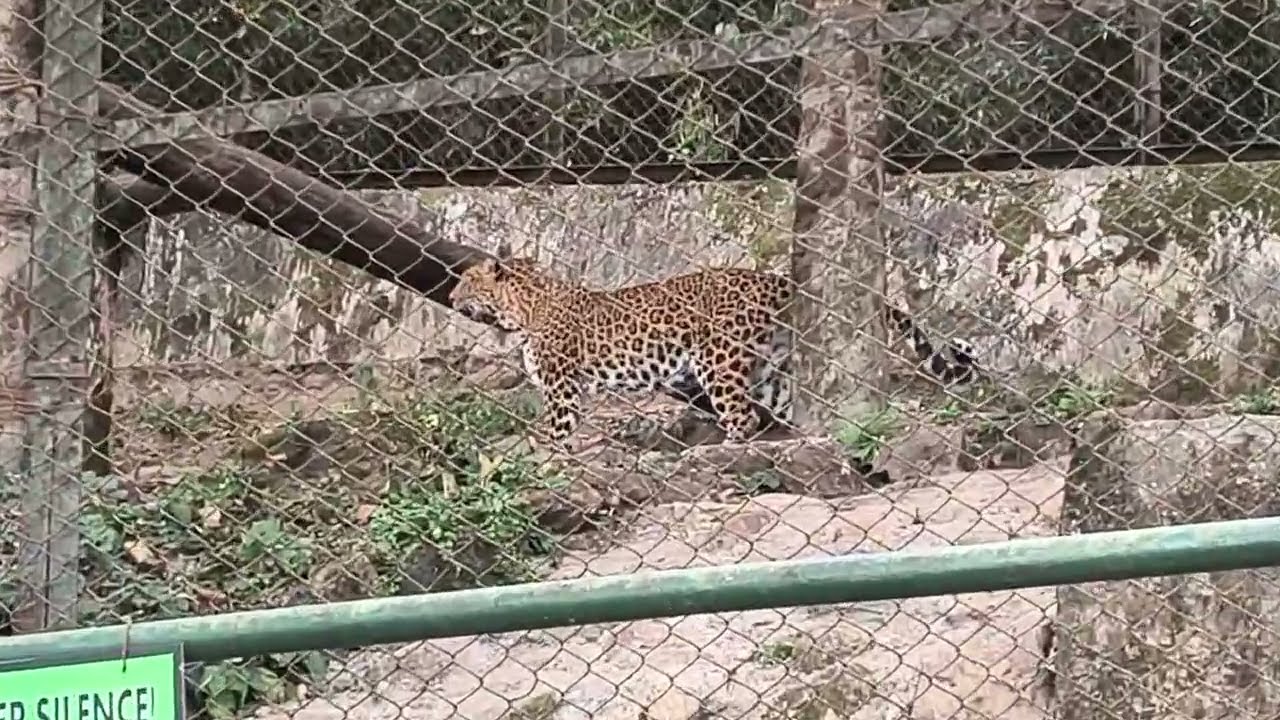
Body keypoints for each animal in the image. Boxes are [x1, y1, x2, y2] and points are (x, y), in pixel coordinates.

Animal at [449, 255, 977, 447]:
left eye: (465, 282)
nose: (451, 299)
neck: (522, 309)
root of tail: (776, 280)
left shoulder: (561, 387)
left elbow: (555, 430)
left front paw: (544, 457)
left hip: (717, 359)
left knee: (740, 414)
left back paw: (728, 447)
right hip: (768, 364)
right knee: (776, 406)